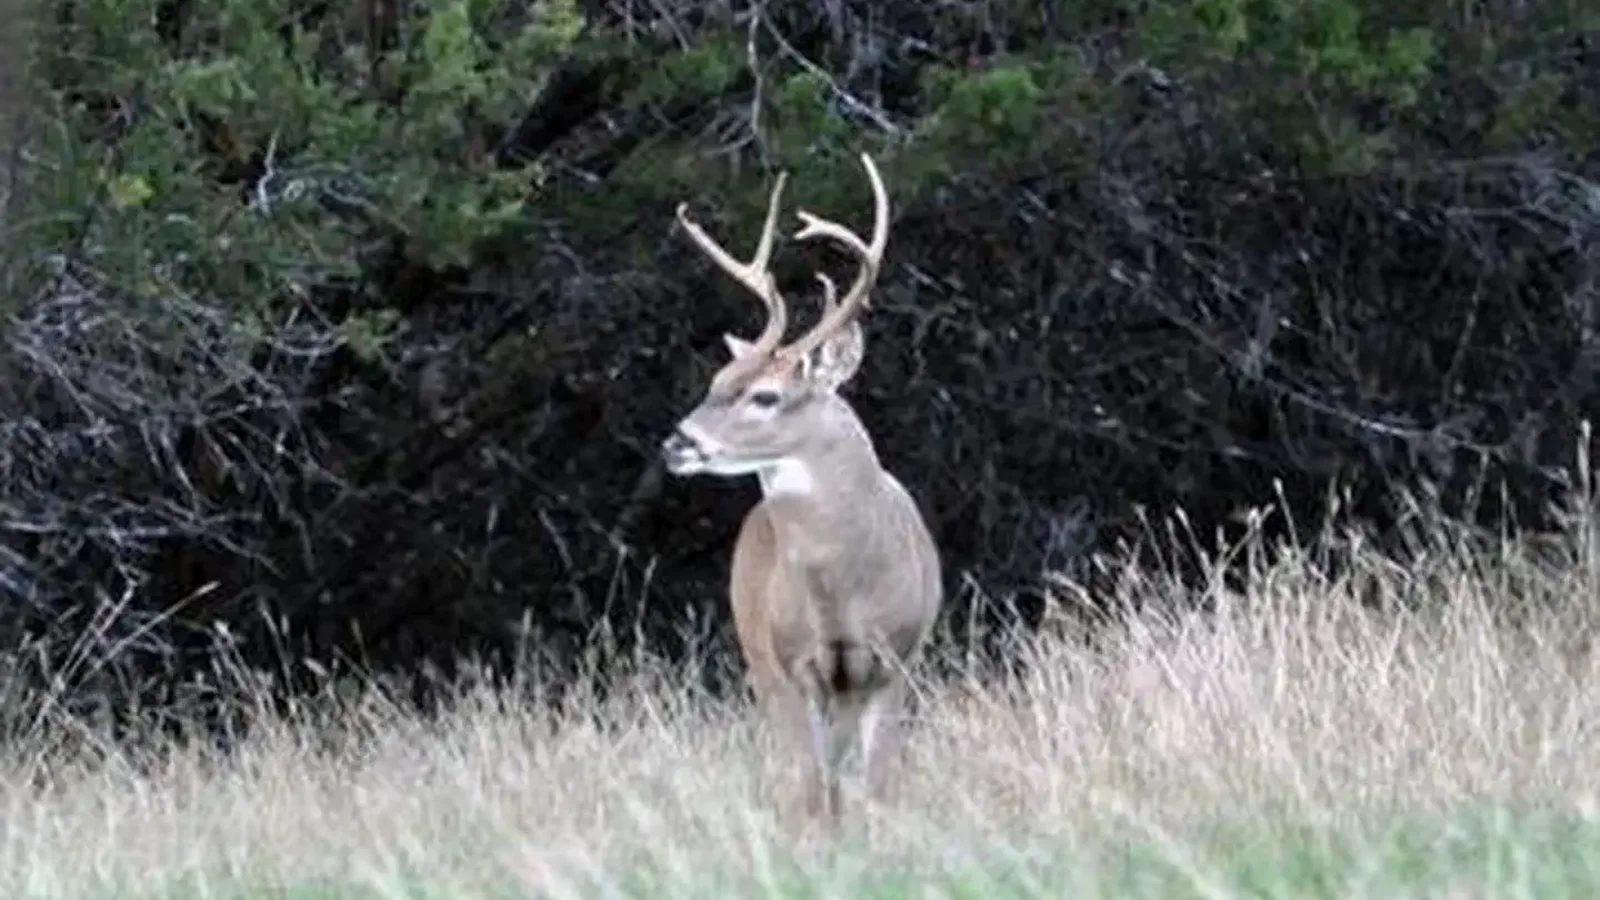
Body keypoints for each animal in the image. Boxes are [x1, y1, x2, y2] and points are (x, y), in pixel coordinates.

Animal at [658, 153, 943, 833]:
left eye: (765, 395)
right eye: (717, 380)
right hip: (759, 658)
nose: (676, 443)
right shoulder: (793, 666)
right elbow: (815, 790)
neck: (844, 592)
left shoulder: (895, 662)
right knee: (807, 778)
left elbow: (877, 788)